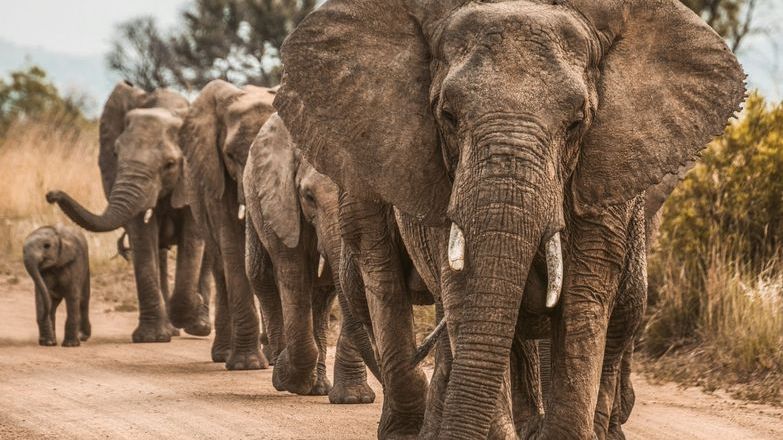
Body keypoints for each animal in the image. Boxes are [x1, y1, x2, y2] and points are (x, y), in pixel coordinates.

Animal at [46, 81, 211, 343]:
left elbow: (193, 238)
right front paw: (151, 338)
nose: (51, 195)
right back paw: (172, 329)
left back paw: (200, 327)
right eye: (115, 155)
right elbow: (142, 237)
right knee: (160, 252)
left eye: (170, 164)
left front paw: (191, 306)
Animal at [177, 79, 276, 370]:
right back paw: (223, 354)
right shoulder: (215, 175)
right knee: (221, 267)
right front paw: (247, 365)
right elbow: (232, 245)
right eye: (230, 155)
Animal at [243, 113, 381, 401]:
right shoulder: (281, 201)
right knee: (261, 277)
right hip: (254, 202)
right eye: (308, 197)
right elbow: (293, 273)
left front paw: (354, 399)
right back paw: (284, 373)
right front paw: (287, 376)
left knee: (323, 294)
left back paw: (316, 388)